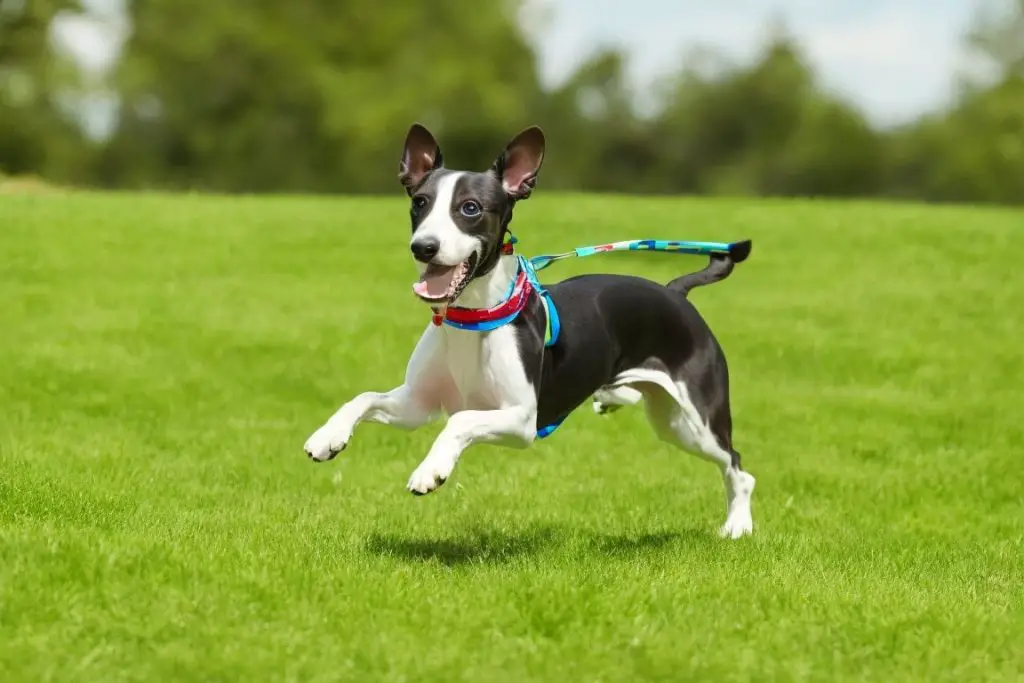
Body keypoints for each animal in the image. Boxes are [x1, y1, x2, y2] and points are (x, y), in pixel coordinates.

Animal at [301, 122, 753, 540]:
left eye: (470, 208)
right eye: (419, 203)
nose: (423, 246)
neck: (472, 317)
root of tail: (676, 293)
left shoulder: (521, 420)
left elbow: (461, 419)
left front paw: (431, 470)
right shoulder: (417, 405)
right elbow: (364, 398)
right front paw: (328, 437)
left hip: (700, 420)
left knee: (737, 467)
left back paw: (737, 527)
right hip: (669, 422)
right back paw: (611, 398)